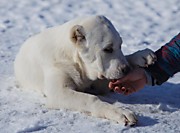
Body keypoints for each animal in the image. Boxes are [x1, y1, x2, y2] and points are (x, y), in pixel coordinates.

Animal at [14, 15, 155, 125]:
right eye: (108, 49)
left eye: (120, 45)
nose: (126, 70)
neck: (75, 60)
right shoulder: (59, 92)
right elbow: (91, 99)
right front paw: (119, 112)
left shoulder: (99, 79)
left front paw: (141, 56)